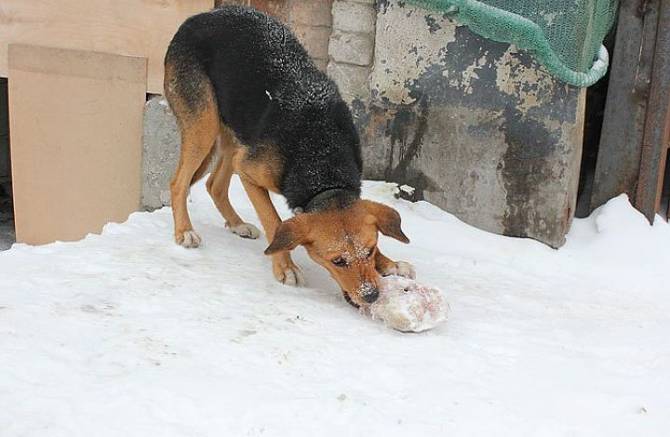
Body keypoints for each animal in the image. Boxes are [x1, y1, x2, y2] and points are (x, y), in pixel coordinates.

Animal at [164, 6, 414, 306]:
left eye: (370, 250)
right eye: (337, 261)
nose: (372, 296)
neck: (322, 160)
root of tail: (201, 15)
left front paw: (388, 264)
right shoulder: (250, 173)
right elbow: (275, 222)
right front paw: (285, 267)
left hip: (238, 132)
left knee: (215, 184)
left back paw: (237, 225)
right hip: (204, 124)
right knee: (179, 182)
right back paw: (184, 231)